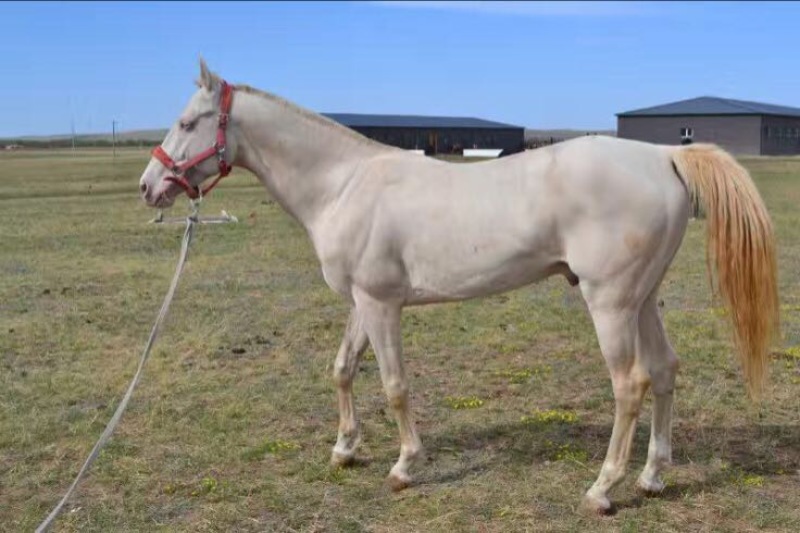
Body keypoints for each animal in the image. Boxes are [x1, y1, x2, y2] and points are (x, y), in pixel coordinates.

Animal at [138, 59, 779, 514]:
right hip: (643, 299)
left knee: (631, 385)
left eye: (189, 122)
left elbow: (394, 385)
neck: (343, 184)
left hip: (611, 303)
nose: (150, 186)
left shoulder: (382, 305)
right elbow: (343, 369)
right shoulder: (362, 302)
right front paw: (344, 449)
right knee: (666, 371)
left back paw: (602, 489)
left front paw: (403, 467)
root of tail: (664, 155)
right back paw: (651, 478)